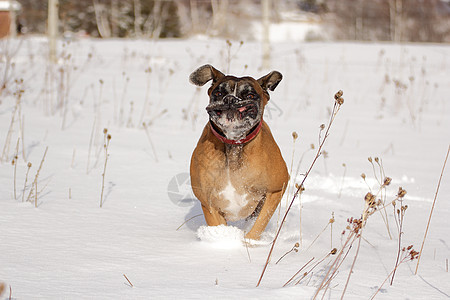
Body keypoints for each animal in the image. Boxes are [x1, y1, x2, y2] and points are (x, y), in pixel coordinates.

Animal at [189, 64, 288, 240]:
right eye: (219, 93)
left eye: (250, 95)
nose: (230, 99)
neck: (234, 145)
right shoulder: (209, 204)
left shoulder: (275, 190)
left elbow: (258, 224)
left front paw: (248, 242)